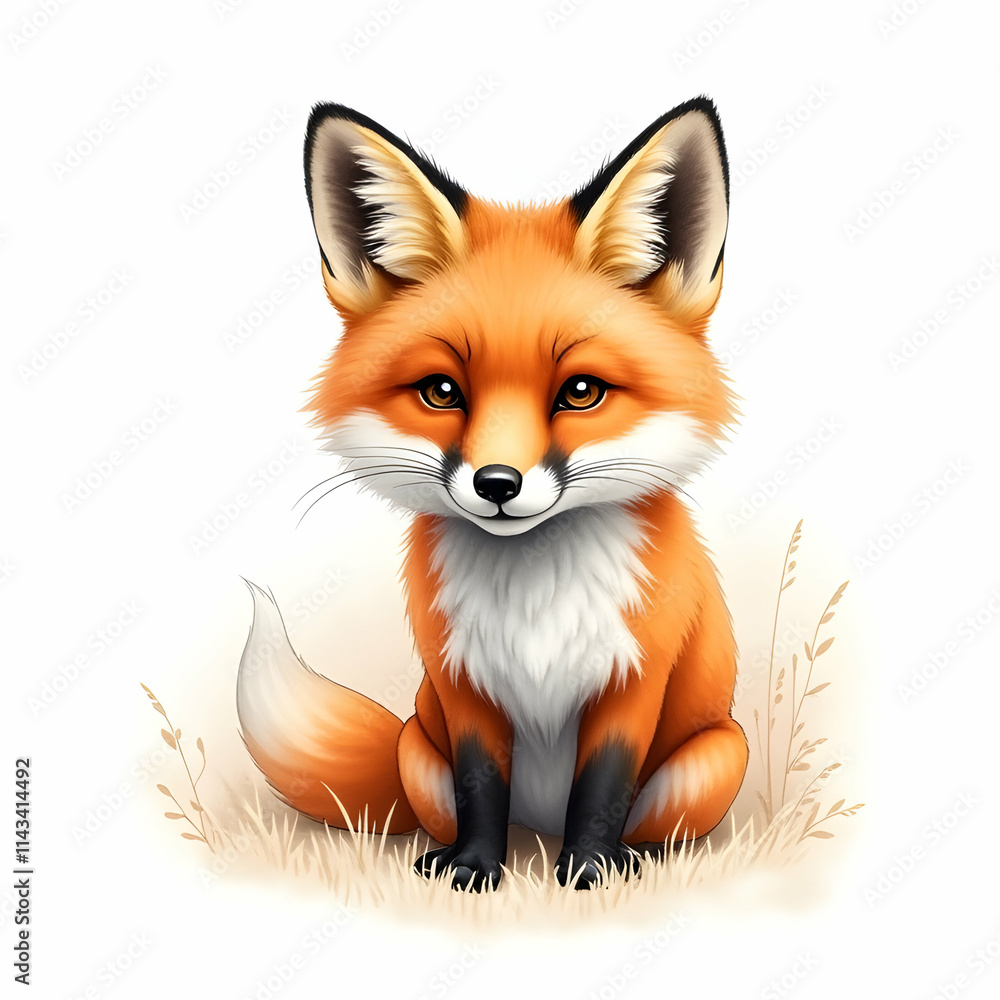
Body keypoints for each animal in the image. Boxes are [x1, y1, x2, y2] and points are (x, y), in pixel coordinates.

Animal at [236, 96, 748, 892]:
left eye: (581, 391)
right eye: (441, 391)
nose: (497, 484)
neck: (535, 598)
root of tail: (537, 827)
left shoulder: (633, 680)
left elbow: (602, 789)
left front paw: (588, 873)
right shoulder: (462, 684)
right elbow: (482, 786)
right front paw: (474, 870)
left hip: (713, 762)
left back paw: (630, 859)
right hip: (419, 749)